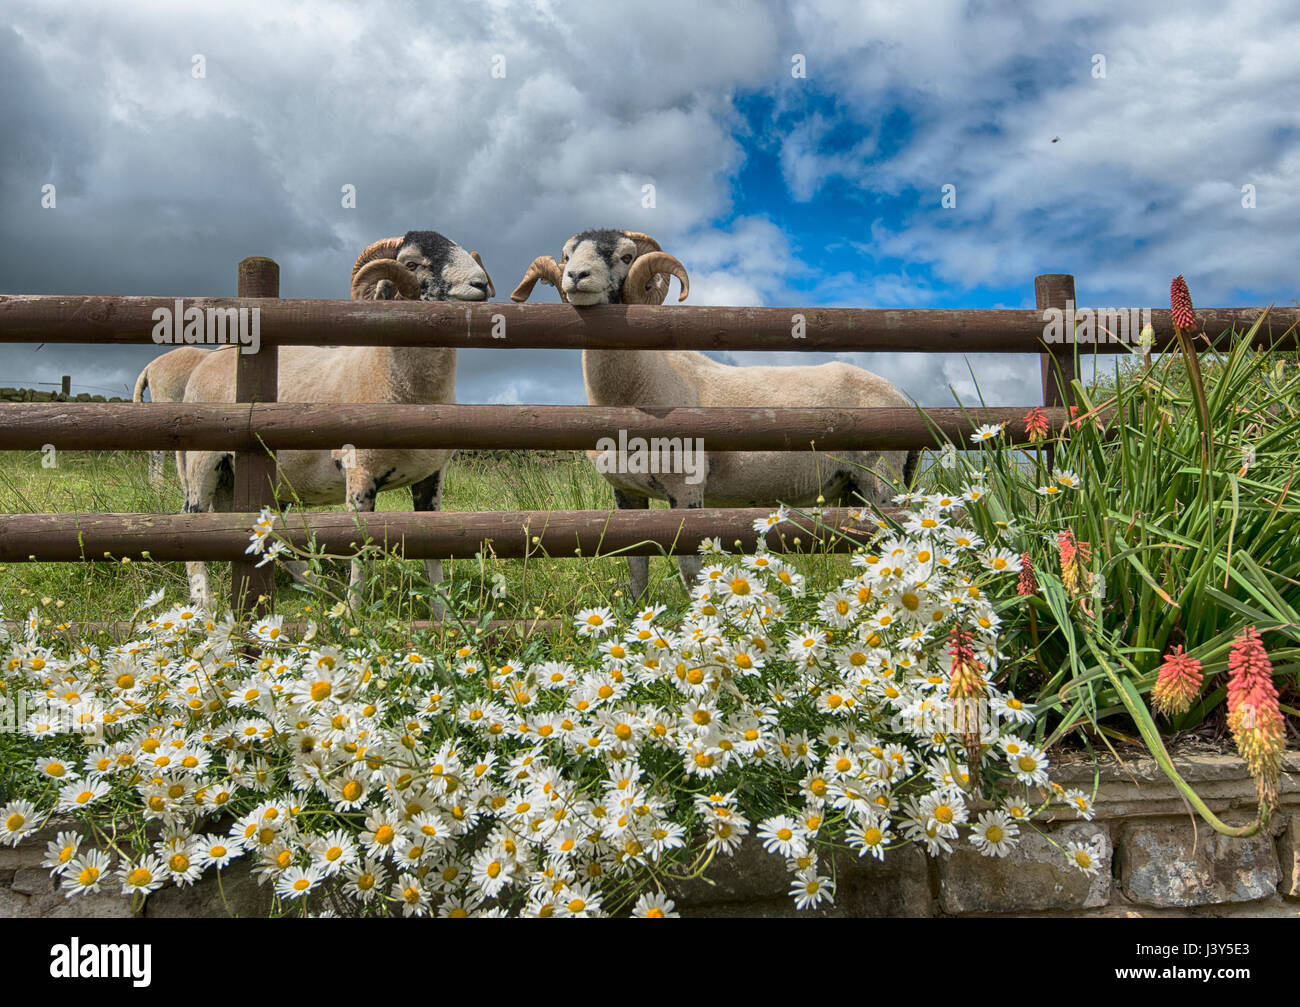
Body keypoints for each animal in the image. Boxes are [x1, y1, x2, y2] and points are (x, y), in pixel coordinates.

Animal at [178, 231, 491, 610]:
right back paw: (204, 601)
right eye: (413, 263)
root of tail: (207, 363)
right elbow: (360, 549)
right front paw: (354, 612)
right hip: (203, 460)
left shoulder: (431, 477)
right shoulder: (359, 475)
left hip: (239, 477)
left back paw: (310, 584)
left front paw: (443, 613)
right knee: (191, 519)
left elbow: (434, 547)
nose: (481, 284)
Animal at [506, 229, 915, 597]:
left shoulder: (686, 487)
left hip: (881, 479)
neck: (638, 388)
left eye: (625, 256)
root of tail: (902, 396)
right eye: (566, 255)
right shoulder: (625, 493)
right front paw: (636, 613)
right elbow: (636, 564)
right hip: (850, 490)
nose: (577, 276)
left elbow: (689, 568)